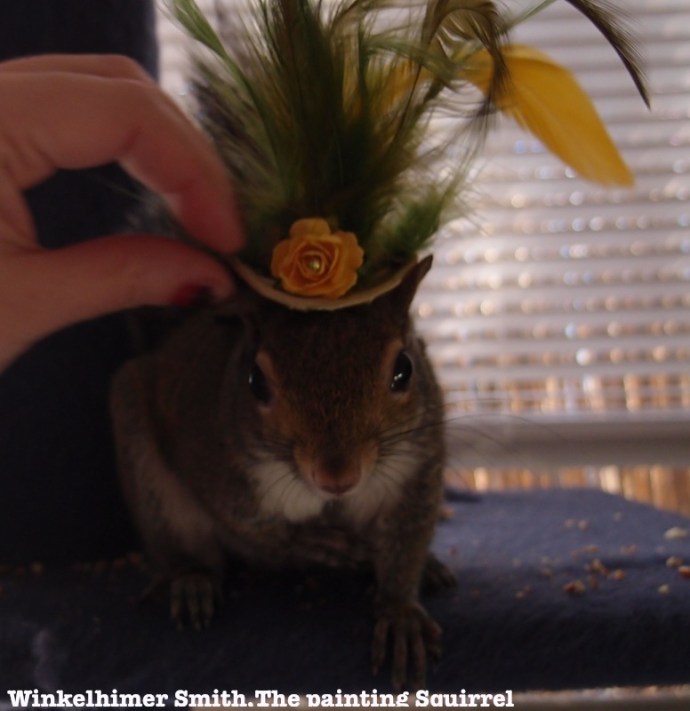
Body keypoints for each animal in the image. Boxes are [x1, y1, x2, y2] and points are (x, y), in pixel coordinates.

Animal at [110, 254, 455, 690]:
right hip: (144, 458)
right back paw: (191, 579)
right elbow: (250, 525)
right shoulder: (211, 463)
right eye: (255, 381)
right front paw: (309, 542)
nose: (337, 477)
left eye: (404, 369)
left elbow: (407, 538)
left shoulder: (418, 466)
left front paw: (399, 613)